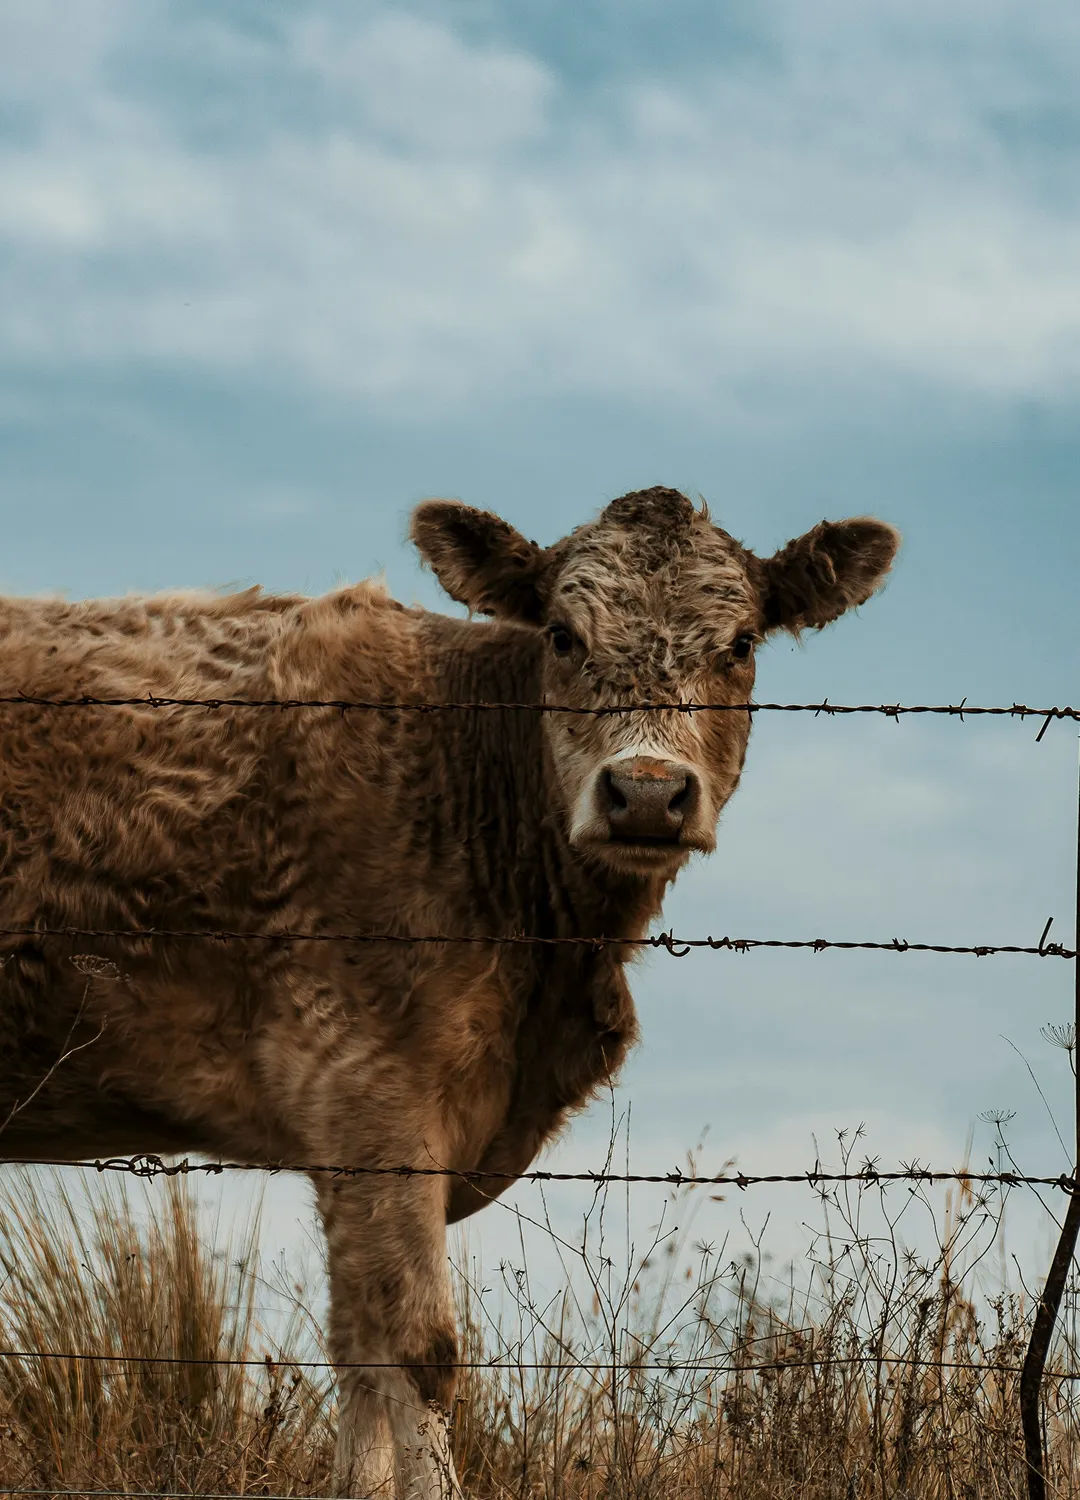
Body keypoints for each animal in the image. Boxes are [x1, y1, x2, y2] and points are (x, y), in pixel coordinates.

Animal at [0, 487, 898, 1498]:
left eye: (740, 643)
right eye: (562, 636)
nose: (644, 793)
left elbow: (359, 1360)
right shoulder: (370, 1092)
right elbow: (418, 1352)